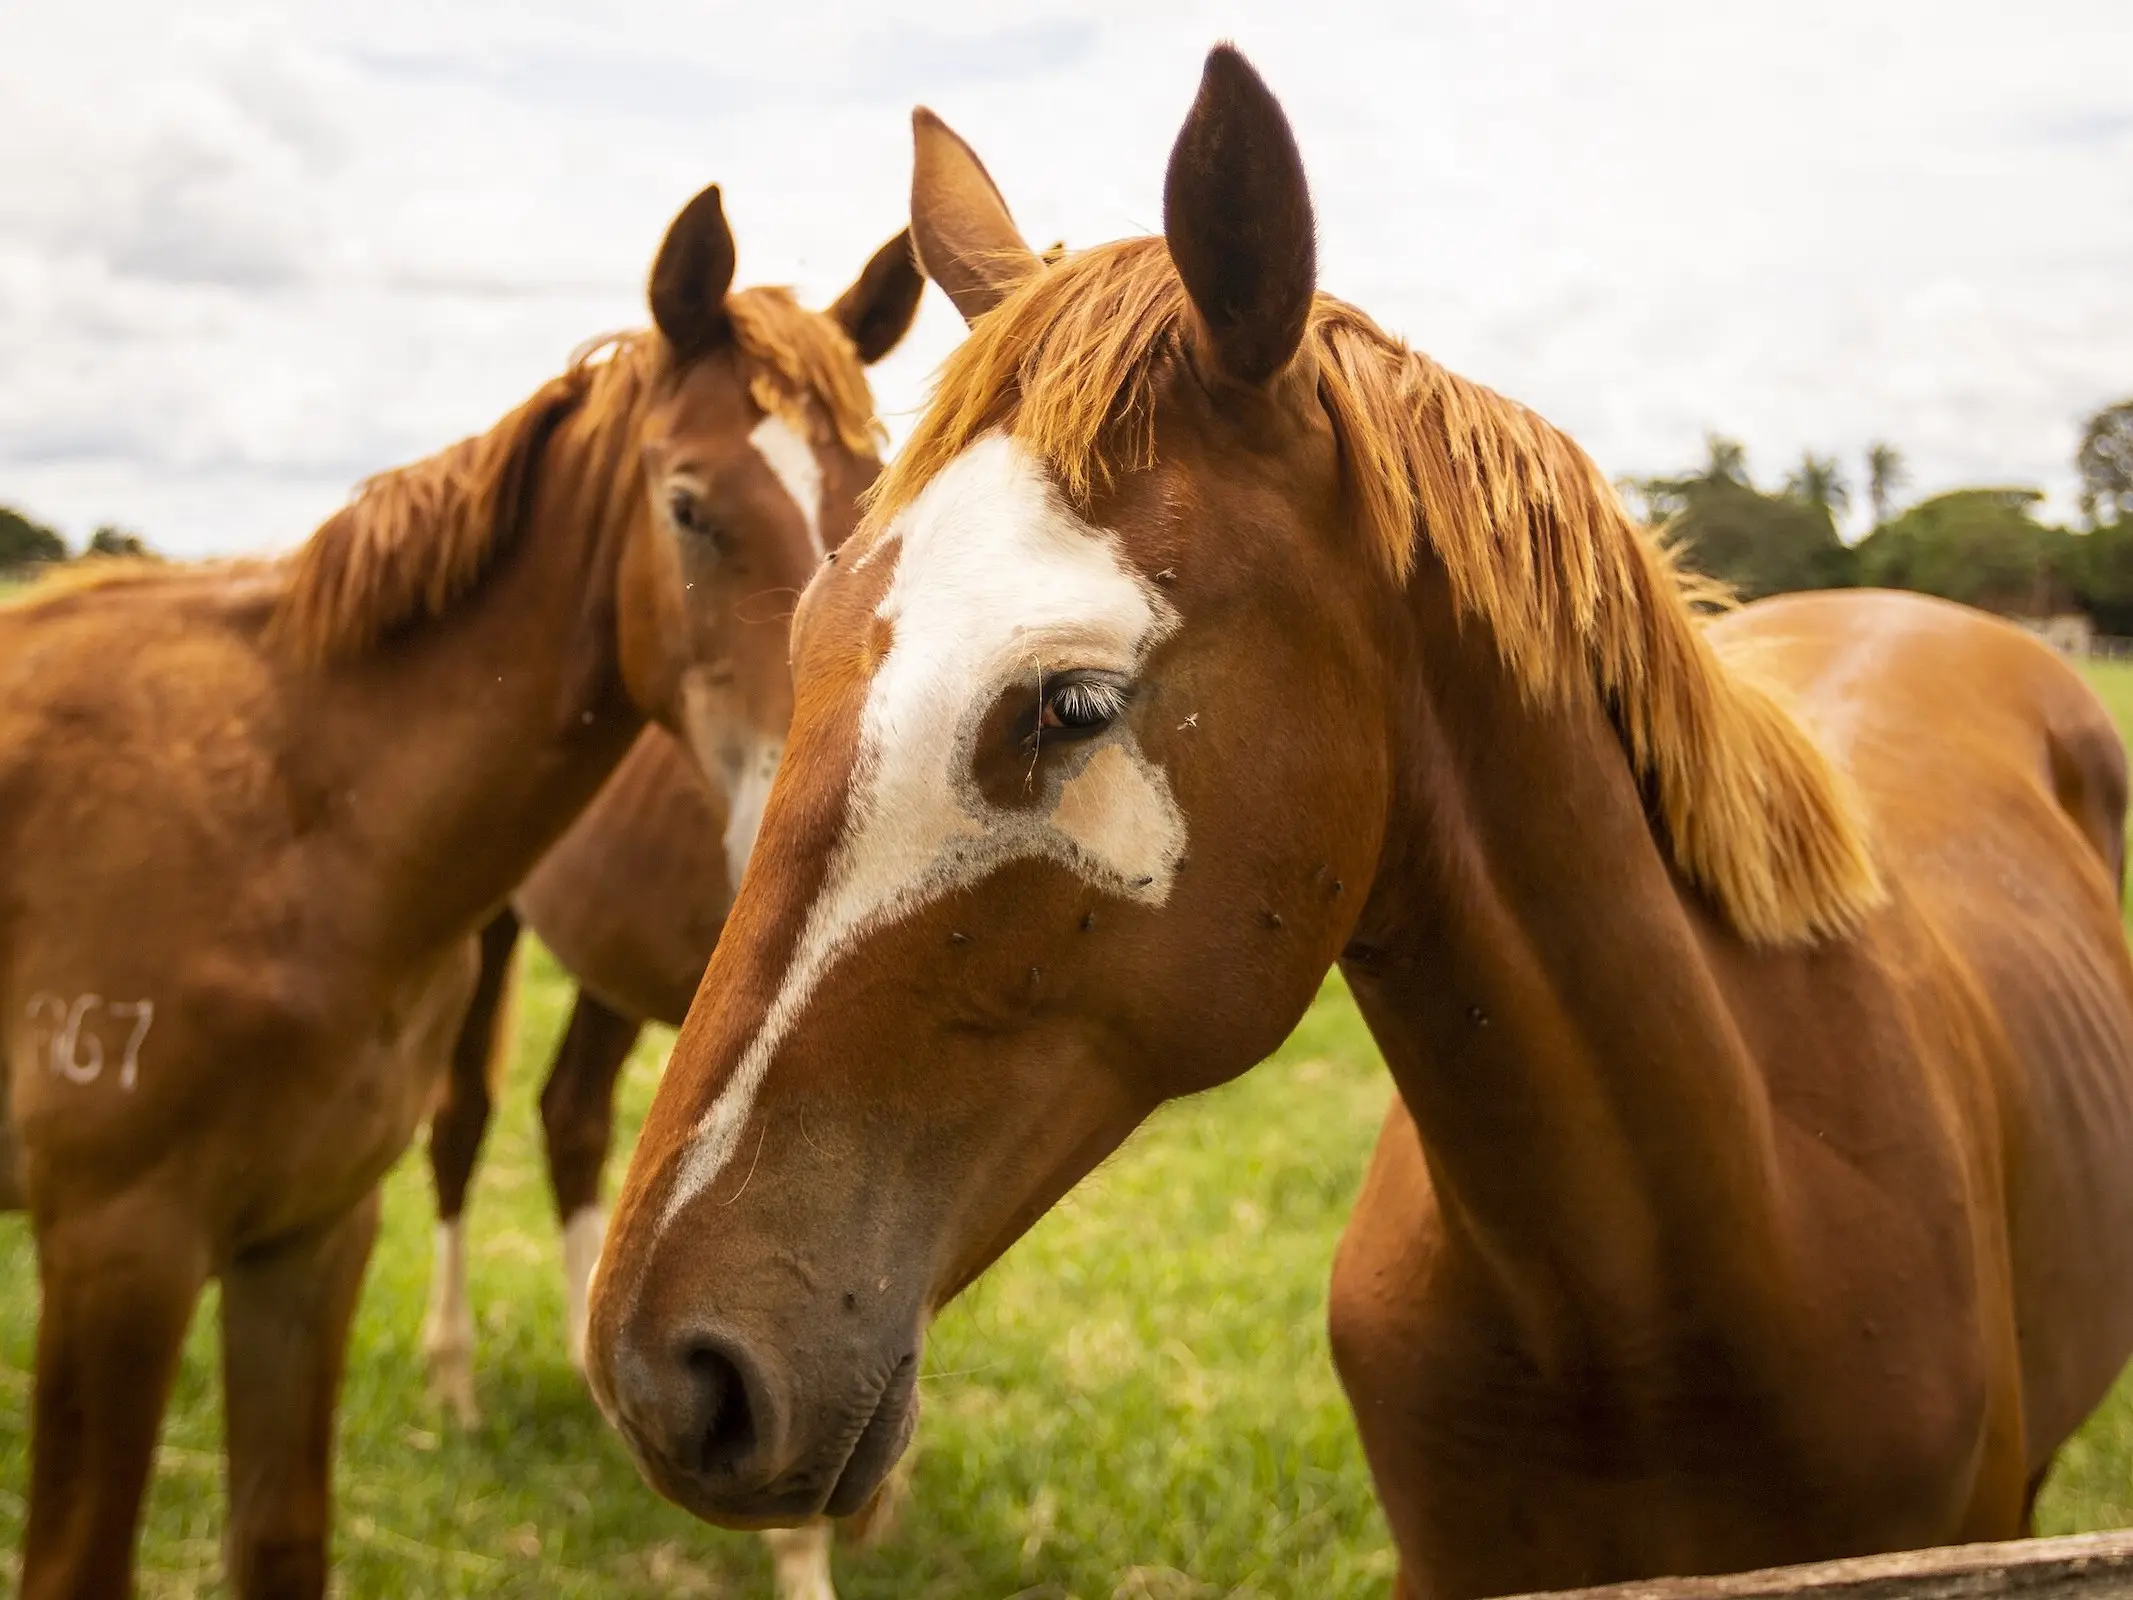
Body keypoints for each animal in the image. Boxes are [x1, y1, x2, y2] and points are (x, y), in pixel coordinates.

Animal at [0, 178, 917, 1600]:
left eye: (876, 500)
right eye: (689, 505)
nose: (836, 815)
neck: (290, 814)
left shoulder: (307, 1237)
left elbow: (281, 1538)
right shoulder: (116, 1251)